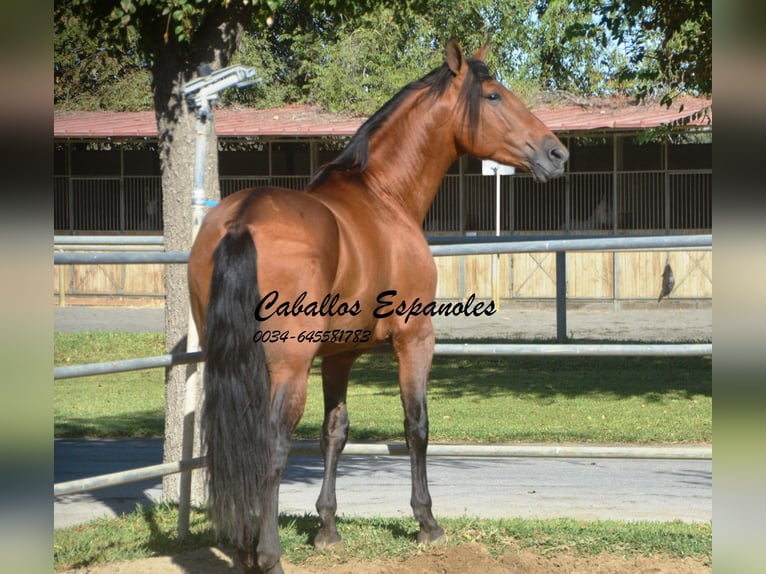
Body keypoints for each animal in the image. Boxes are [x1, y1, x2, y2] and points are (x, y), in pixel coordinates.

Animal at [188, 38, 568, 572]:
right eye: (493, 95)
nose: (557, 153)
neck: (383, 195)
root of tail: (242, 219)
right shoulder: (415, 339)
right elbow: (416, 425)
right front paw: (427, 522)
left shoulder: (339, 355)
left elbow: (335, 431)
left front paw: (327, 529)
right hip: (288, 367)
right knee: (271, 445)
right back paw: (268, 555)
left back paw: (244, 551)